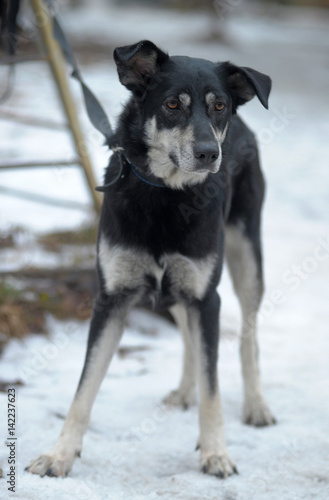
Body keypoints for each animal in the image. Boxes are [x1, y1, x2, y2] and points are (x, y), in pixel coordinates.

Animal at [26, 41, 276, 478]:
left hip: (247, 260)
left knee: (249, 334)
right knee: (189, 336)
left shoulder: (206, 297)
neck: (166, 194)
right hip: (176, 289)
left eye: (219, 106)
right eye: (172, 104)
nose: (210, 153)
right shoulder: (112, 298)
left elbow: (213, 386)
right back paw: (184, 391)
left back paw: (256, 404)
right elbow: (83, 389)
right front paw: (60, 455)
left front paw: (216, 453)